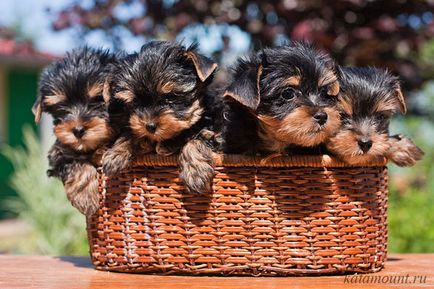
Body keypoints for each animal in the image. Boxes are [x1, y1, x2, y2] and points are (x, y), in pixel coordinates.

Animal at [32, 46, 117, 214]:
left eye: (97, 100)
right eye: (61, 108)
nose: (78, 130)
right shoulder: (59, 151)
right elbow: (74, 162)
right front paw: (86, 197)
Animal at [104, 40, 219, 194]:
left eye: (170, 97)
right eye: (134, 102)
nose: (150, 126)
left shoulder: (212, 132)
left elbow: (196, 139)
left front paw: (195, 173)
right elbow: (132, 133)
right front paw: (115, 154)